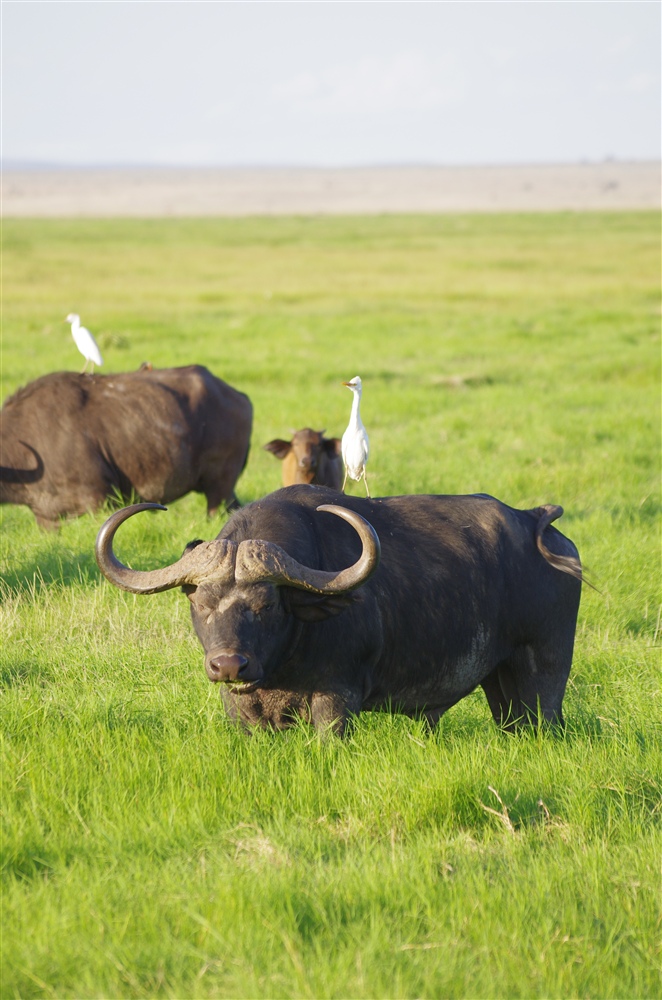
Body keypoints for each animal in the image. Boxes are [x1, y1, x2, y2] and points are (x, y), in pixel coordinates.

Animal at [94, 484, 588, 736]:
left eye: (266, 604)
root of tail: (537, 522)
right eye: (200, 602)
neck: (282, 664)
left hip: (544, 672)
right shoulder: (239, 709)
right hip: (499, 682)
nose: (229, 664)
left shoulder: (337, 698)